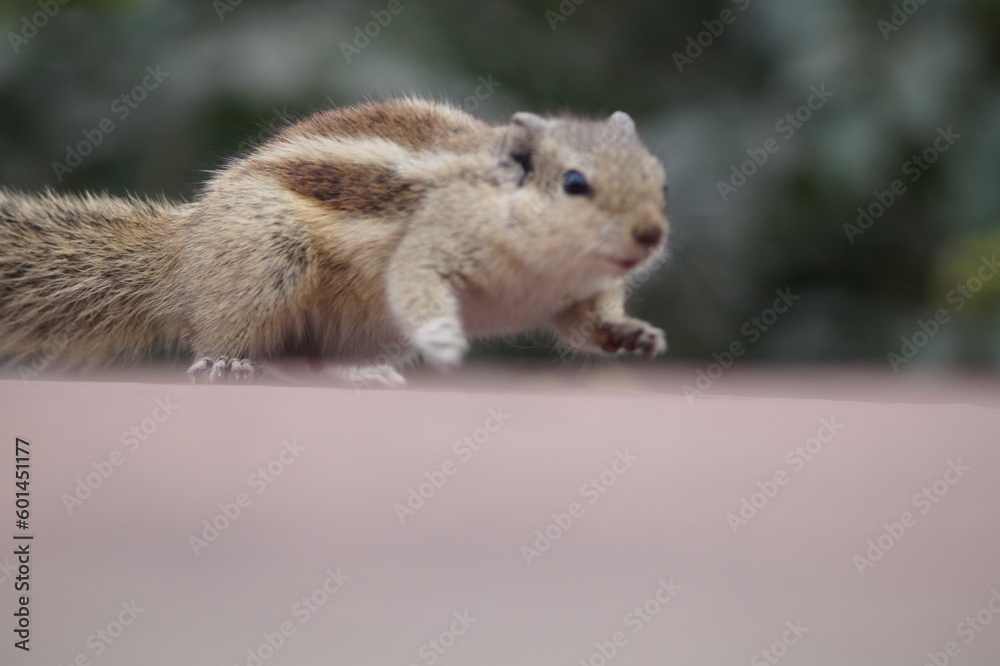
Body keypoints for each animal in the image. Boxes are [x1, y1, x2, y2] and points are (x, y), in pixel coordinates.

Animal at [0, 98, 669, 385]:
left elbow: (585, 324)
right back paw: (226, 360)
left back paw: (359, 373)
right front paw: (444, 338)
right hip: (264, 257)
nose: (651, 235)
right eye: (575, 184)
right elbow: (416, 282)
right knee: (235, 337)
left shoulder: (578, 294)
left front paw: (631, 333)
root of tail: (182, 255)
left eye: (660, 177)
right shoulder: (432, 246)